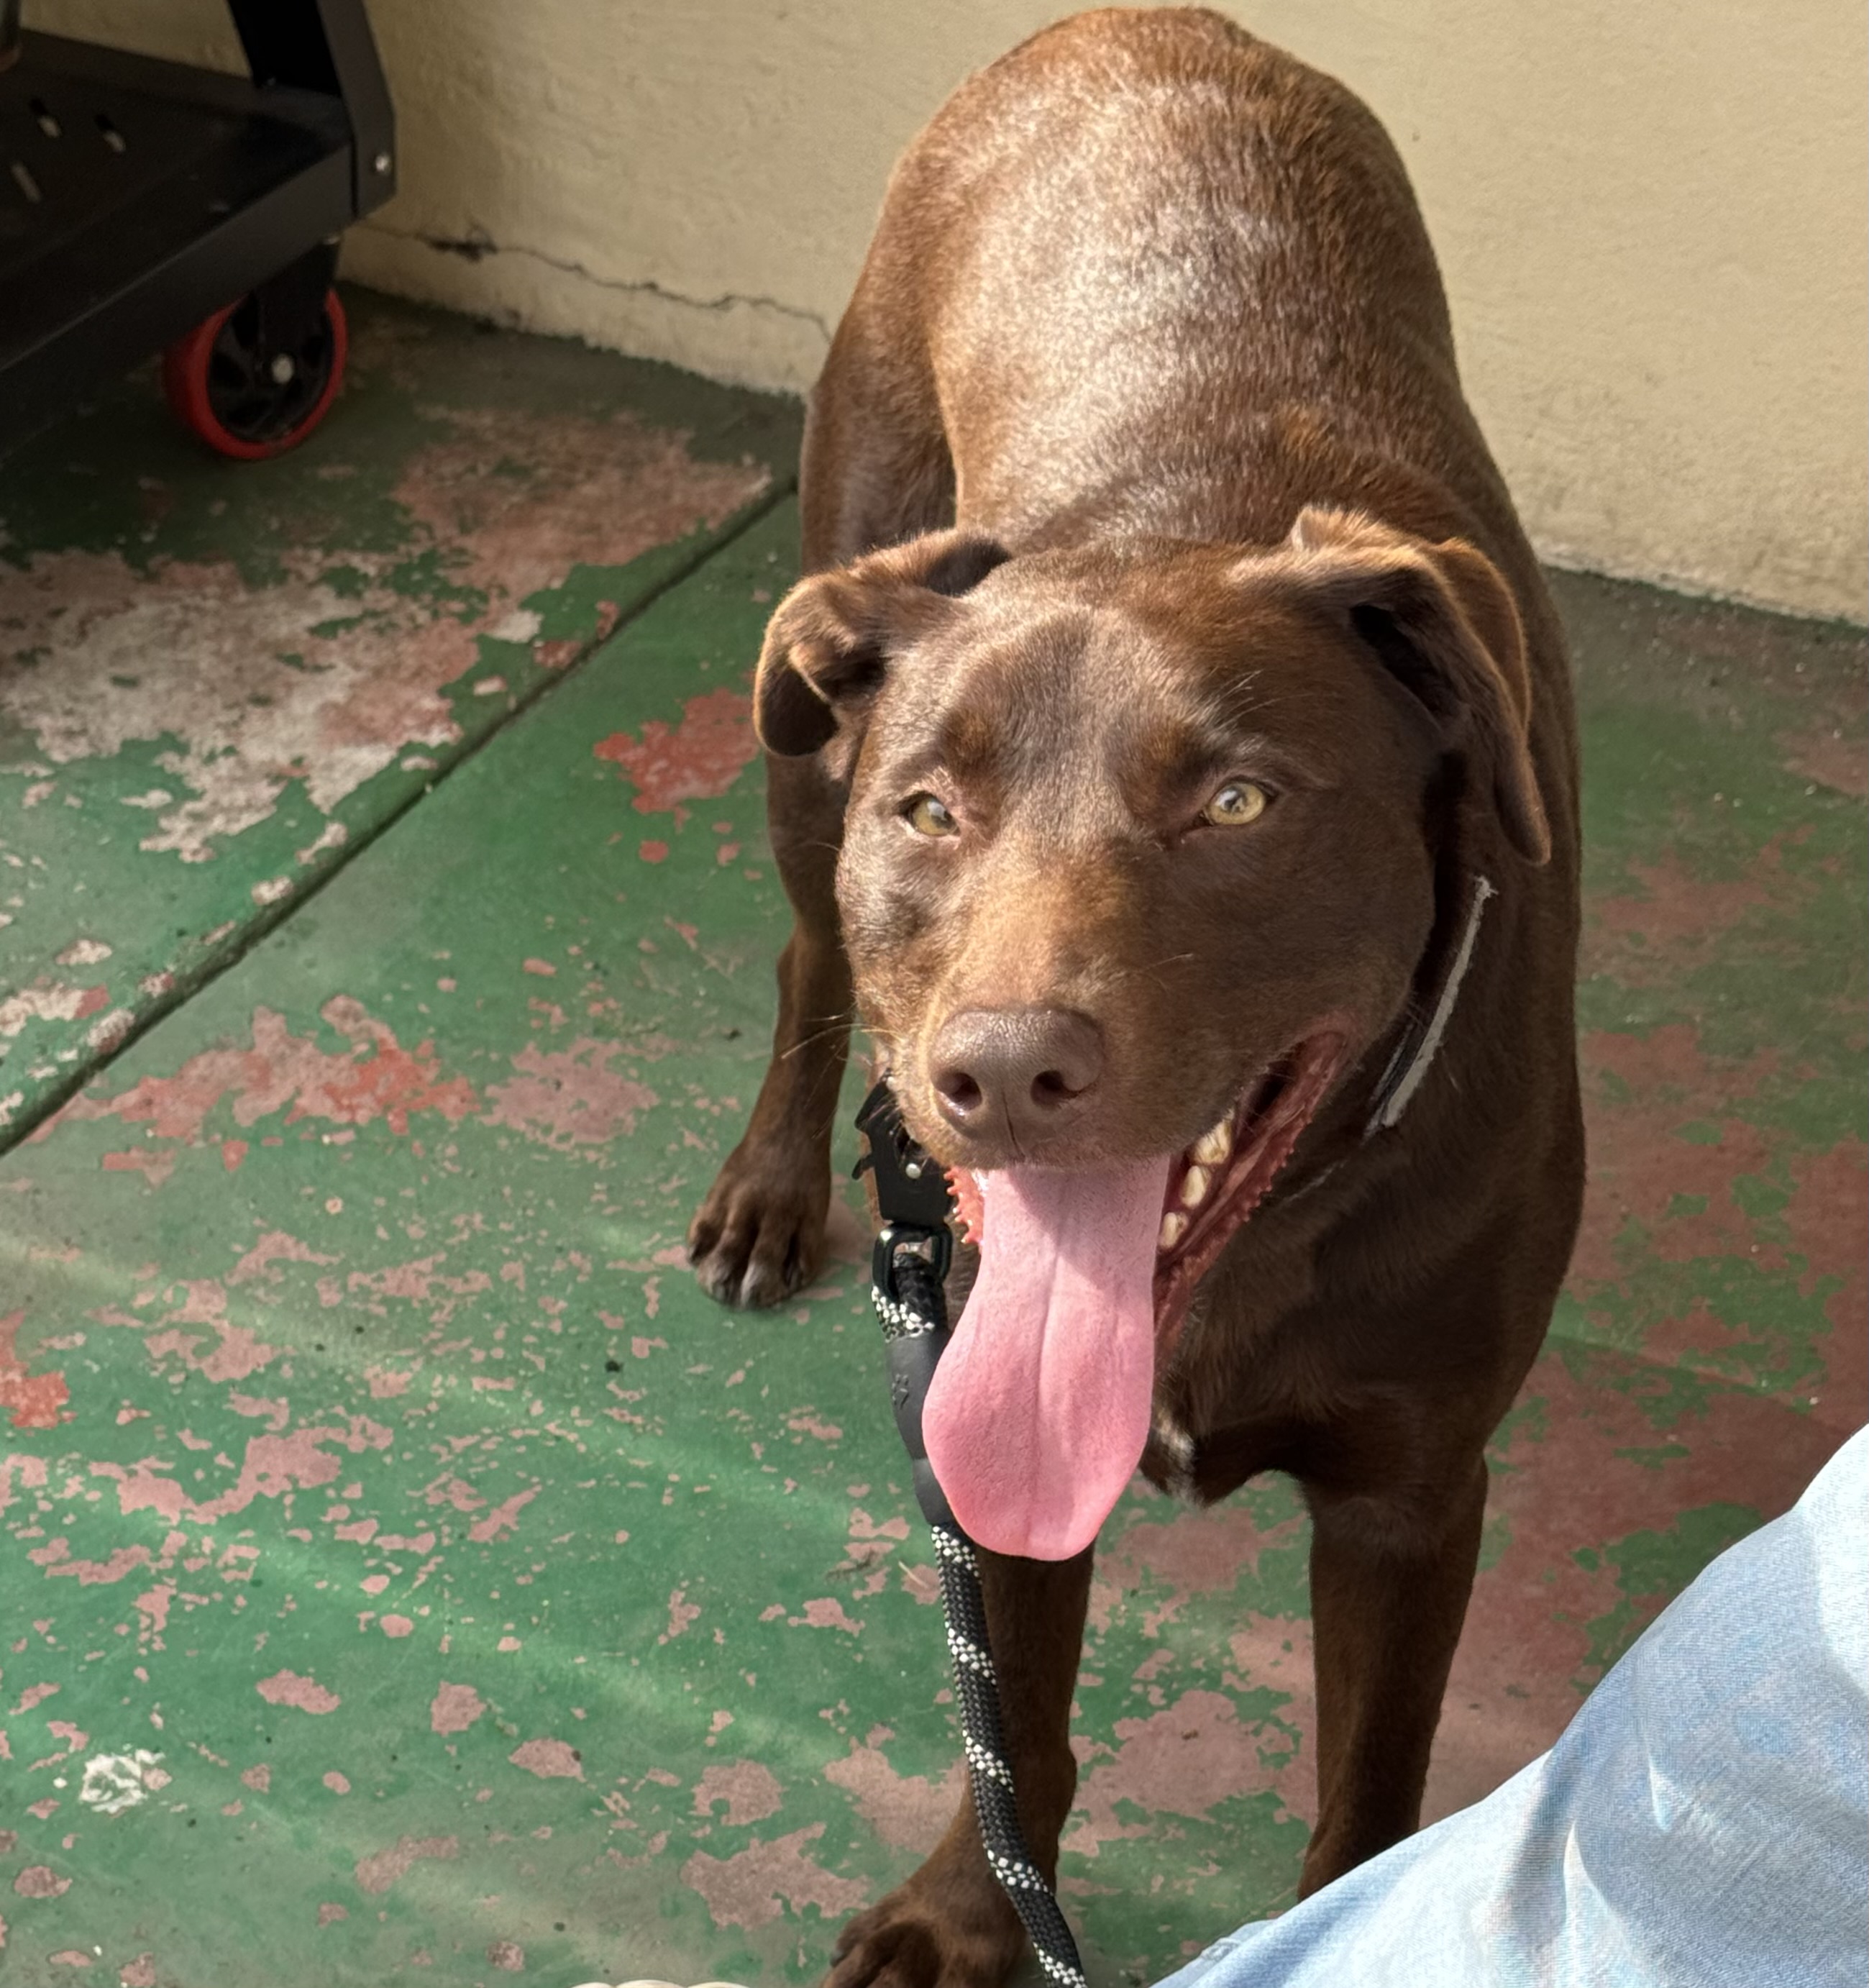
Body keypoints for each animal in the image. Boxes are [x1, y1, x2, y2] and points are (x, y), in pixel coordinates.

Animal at [688, 9, 1584, 1980]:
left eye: (1236, 802)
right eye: (931, 808)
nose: (1003, 1072)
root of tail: (1134, 27)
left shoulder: (1413, 1489)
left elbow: (1367, 1786)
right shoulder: (977, 1406)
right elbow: (1011, 1710)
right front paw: (970, 1908)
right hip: (811, 704)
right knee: (802, 952)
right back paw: (771, 1185)